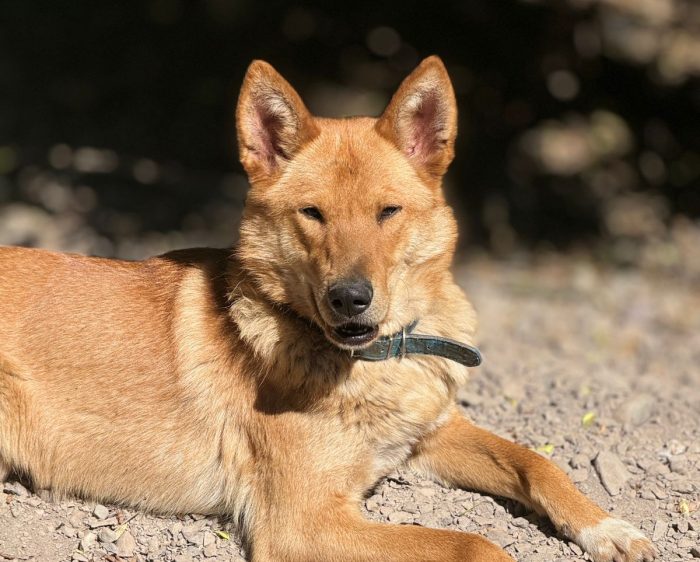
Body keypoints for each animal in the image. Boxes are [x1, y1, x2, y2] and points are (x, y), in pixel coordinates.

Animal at [1, 58, 656, 560]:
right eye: (312, 214)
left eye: (387, 212)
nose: (350, 298)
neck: (373, 362)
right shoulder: (303, 524)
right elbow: (474, 544)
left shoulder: (432, 435)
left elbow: (537, 463)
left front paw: (608, 527)